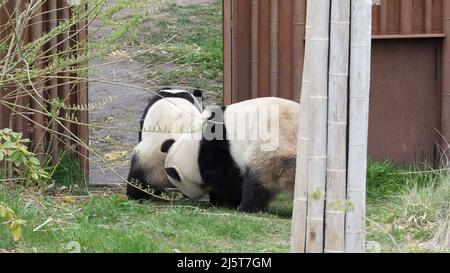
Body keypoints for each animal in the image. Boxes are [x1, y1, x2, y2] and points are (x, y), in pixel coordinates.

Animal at [160, 96, 300, 211]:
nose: (185, 196)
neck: (193, 148)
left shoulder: (215, 151)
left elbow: (225, 179)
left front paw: (225, 201)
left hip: (268, 149)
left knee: (257, 180)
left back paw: (246, 207)